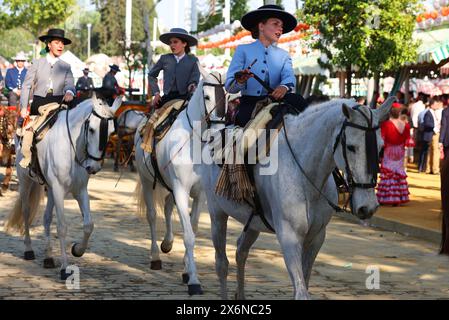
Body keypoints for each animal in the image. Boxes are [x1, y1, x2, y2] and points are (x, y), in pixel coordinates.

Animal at [7, 94, 122, 278]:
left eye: (112, 131)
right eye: (91, 129)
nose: (94, 167)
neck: (72, 147)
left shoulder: (80, 191)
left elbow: (88, 225)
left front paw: (77, 250)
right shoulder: (60, 190)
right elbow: (62, 227)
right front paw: (65, 268)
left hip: (50, 189)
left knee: (46, 218)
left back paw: (48, 257)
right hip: (25, 181)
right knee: (26, 212)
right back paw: (29, 249)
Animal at [132, 71, 224, 296]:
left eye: (226, 96)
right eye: (207, 96)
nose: (218, 131)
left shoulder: (200, 194)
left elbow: (193, 227)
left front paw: (186, 270)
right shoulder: (181, 191)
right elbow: (189, 235)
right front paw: (194, 281)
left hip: (170, 187)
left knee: (166, 208)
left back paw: (167, 243)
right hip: (147, 182)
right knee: (152, 216)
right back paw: (156, 256)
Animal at [201, 96, 394, 298]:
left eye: (381, 148)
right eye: (351, 147)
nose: (368, 206)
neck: (305, 173)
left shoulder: (316, 237)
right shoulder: (289, 237)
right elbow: (301, 291)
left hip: (253, 221)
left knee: (241, 251)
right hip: (217, 214)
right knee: (222, 263)